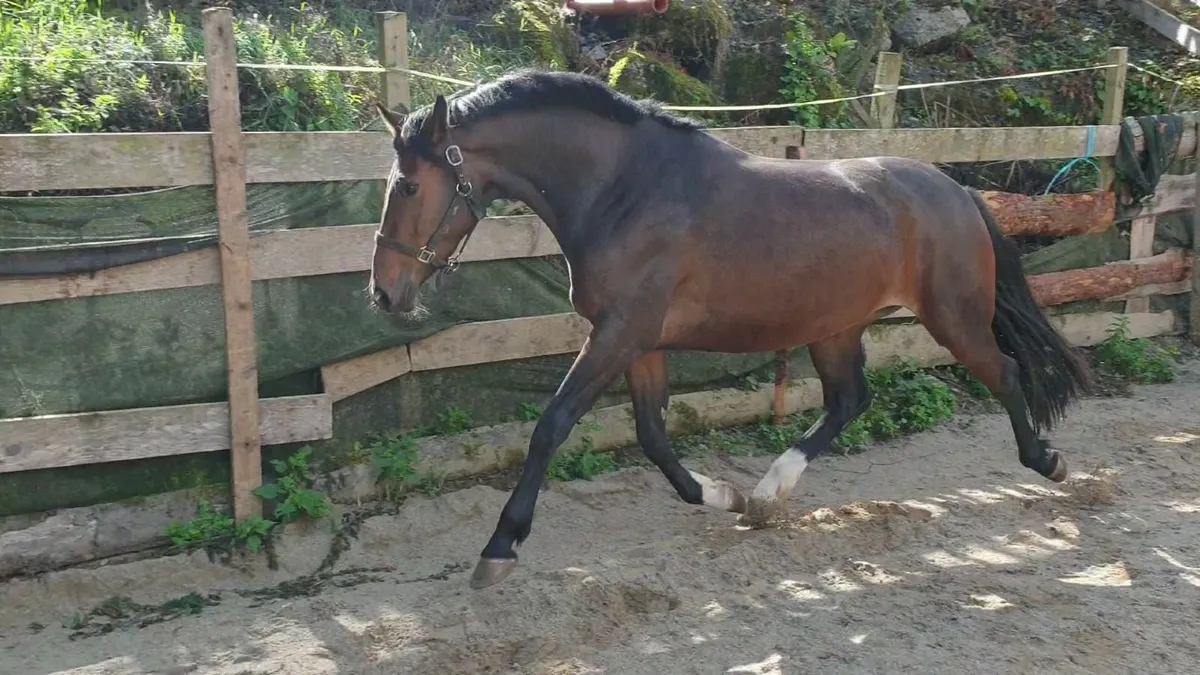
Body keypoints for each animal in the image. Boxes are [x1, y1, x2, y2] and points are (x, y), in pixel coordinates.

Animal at [366, 68, 1094, 590]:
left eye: (409, 186)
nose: (384, 292)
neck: (624, 189)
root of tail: (957, 191)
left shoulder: (619, 333)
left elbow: (552, 424)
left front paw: (500, 546)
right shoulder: (640, 342)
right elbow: (654, 437)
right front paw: (725, 496)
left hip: (952, 318)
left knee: (1004, 373)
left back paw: (1050, 462)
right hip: (834, 326)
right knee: (849, 399)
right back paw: (770, 493)